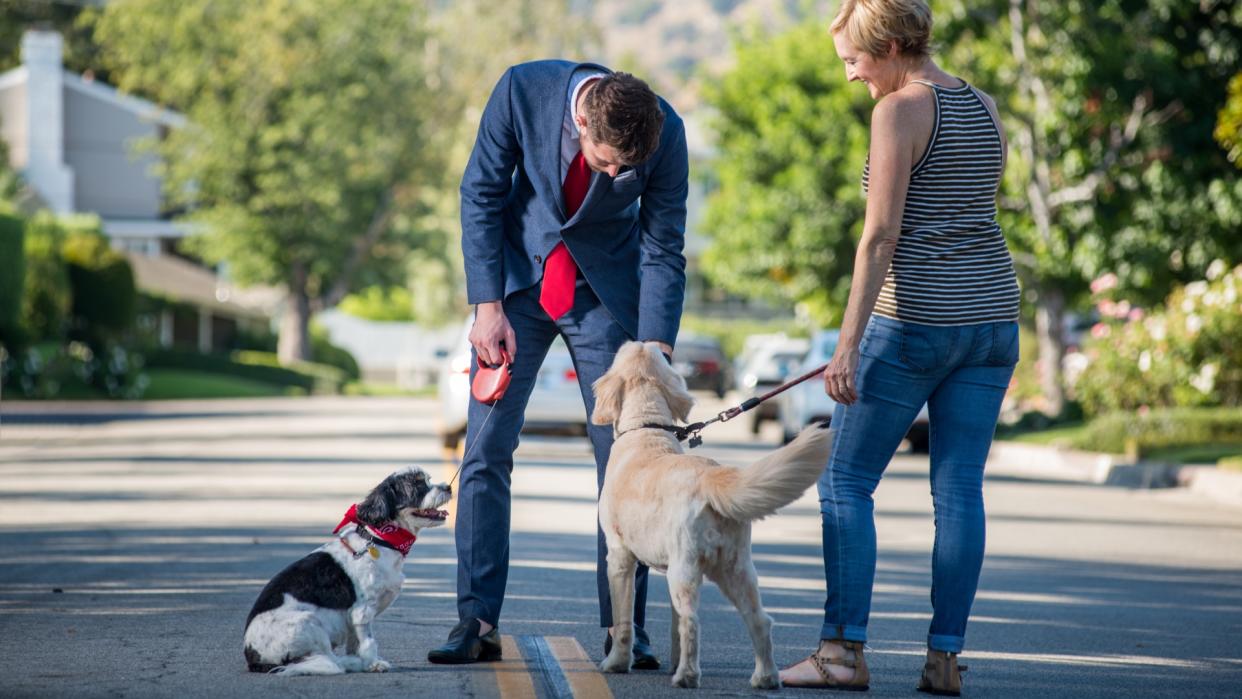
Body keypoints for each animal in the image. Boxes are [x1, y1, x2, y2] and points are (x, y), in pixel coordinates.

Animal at [239, 466, 449, 675]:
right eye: (418, 484)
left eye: (428, 479)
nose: (448, 487)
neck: (381, 539)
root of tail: (252, 656)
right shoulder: (362, 612)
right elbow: (368, 642)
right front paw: (373, 663)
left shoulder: (353, 620)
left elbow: (355, 644)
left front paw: (364, 661)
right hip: (308, 621)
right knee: (331, 662)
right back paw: (349, 663)